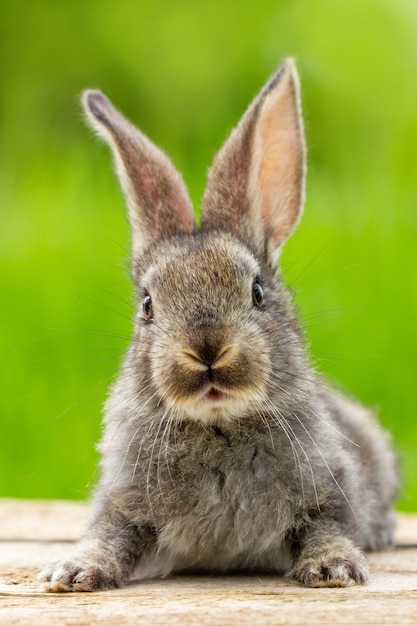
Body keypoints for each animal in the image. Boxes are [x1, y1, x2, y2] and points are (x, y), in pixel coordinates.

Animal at [39, 58, 396, 588]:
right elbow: (110, 533)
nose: (207, 349)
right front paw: (76, 571)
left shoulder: (329, 487)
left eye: (257, 292)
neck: (218, 424)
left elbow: (327, 525)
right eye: (148, 305)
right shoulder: (124, 501)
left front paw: (333, 567)